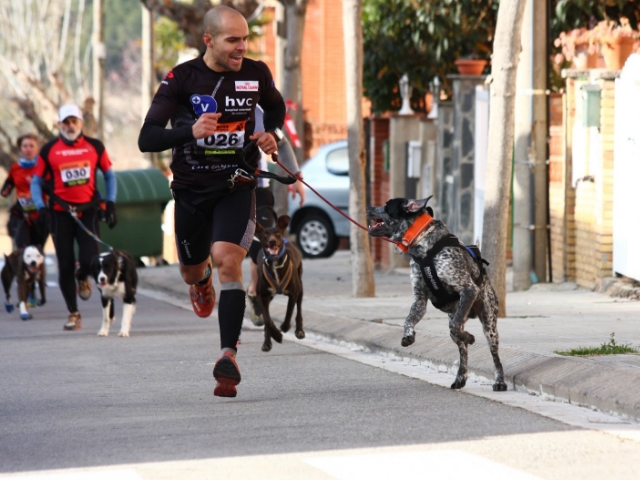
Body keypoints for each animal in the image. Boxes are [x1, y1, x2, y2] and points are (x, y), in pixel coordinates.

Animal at [255, 216, 304, 350]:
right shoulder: (262, 296)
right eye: (265, 234)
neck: (275, 263)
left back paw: (299, 331)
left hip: (300, 287)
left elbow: (289, 311)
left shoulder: (293, 293)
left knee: (298, 309)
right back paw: (267, 342)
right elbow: (267, 320)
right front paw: (276, 335)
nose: (272, 241)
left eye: (277, 233)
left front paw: (284, 327)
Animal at [368, 197, 508, 392]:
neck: (423, 246)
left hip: (489, 325)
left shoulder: (468, 289)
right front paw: (408, 336)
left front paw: (470, 336)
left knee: (494, 356)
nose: (368, 208)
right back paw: (460, 377)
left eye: (386, 205)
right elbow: (408, 320)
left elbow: (456, 327)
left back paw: (499, 381)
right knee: (462, 350)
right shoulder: (419, 300)